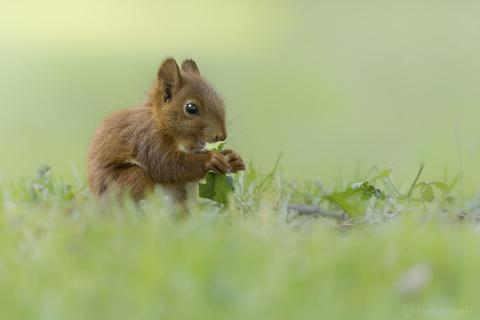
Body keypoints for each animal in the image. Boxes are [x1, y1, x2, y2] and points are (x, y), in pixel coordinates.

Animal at [86, 57, 246, 201]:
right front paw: (210, 159)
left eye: (220, 100)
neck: (159, 122)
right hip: (129, 179)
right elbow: (167, 165)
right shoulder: (149, 140)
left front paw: (233, 158)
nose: (222, 136)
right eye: (191, 108)